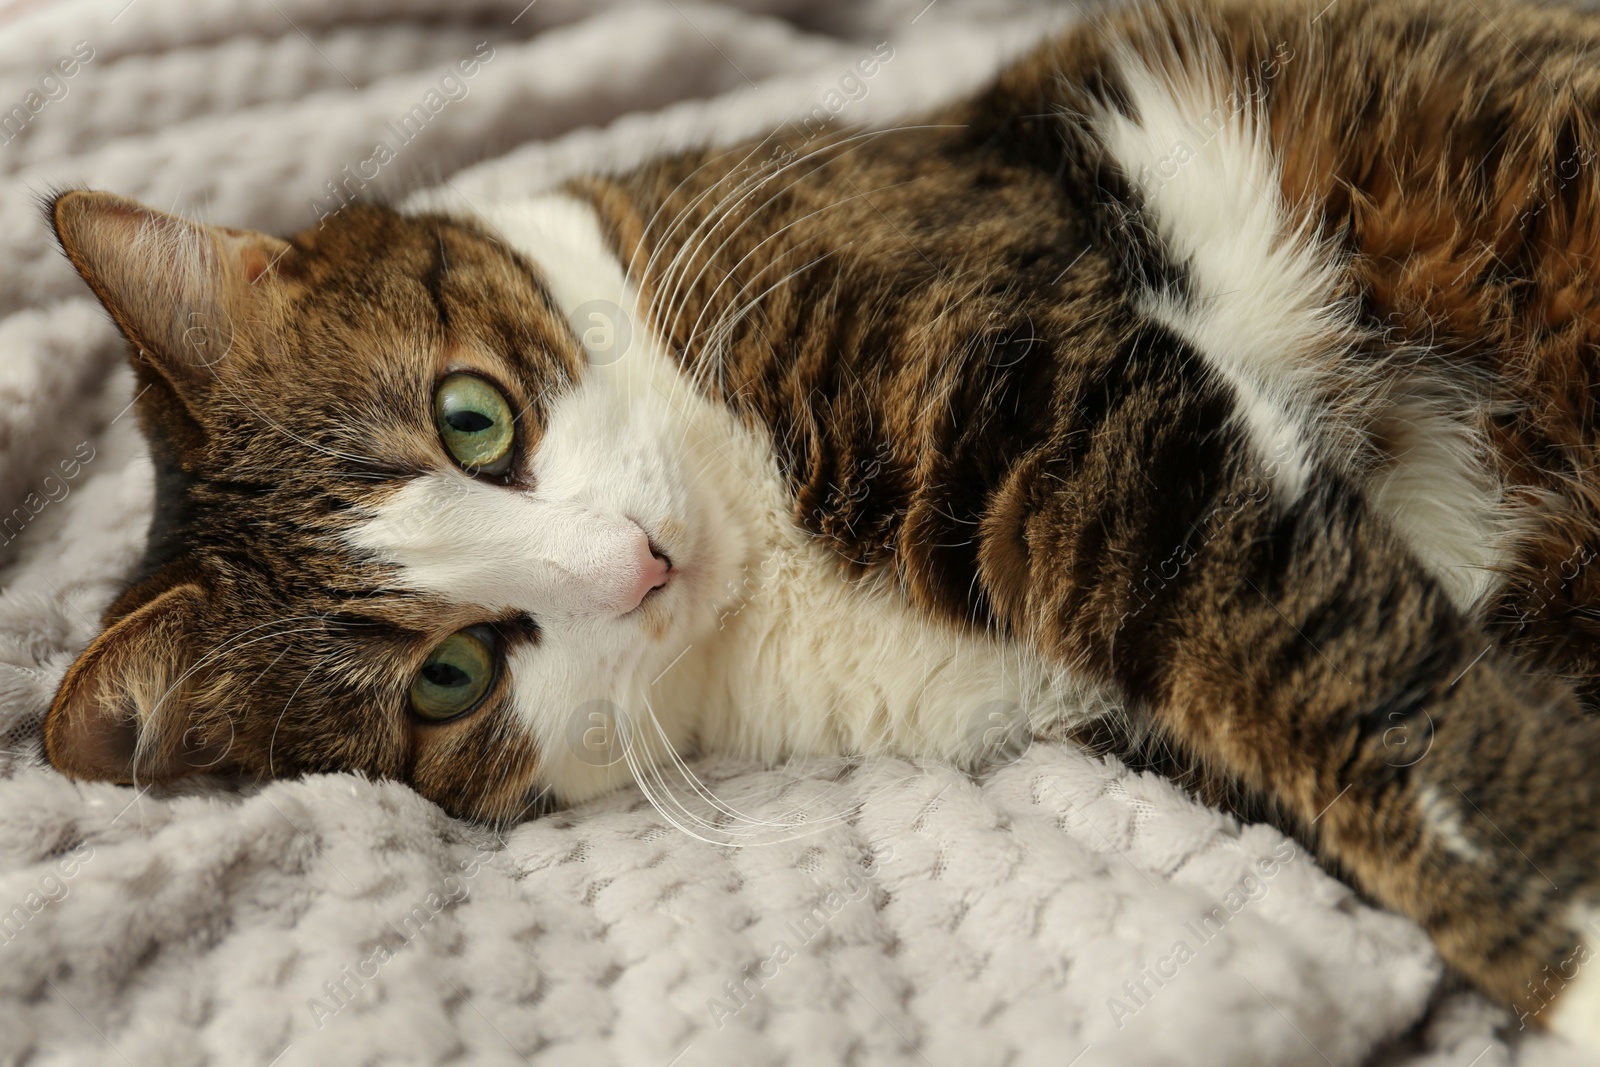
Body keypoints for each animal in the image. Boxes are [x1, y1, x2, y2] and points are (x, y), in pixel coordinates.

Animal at [31, 0, 1600, 1043]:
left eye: (473, 416)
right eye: (450, 675)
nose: (637, 562)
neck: (764, 563)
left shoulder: (1045, 390)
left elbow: (1343, 681)